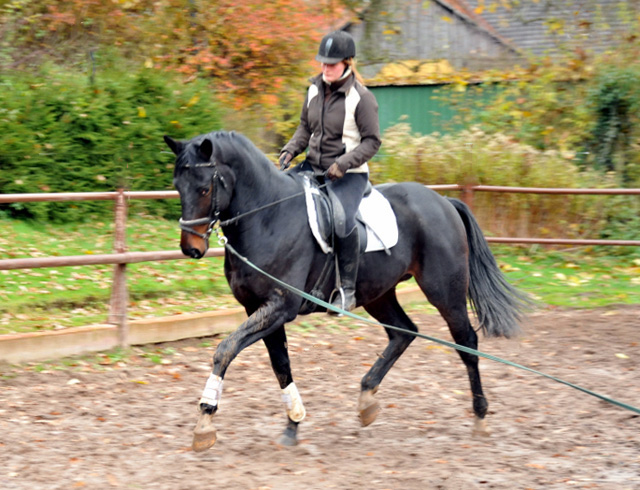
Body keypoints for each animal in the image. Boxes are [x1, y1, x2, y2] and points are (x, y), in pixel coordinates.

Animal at [165, 129, 528, 452]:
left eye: (203, 188)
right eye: (177, 186)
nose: (191, 248)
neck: (268, 217)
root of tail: (444, 201)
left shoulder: (281, 306)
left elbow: (225, 349)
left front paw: (204, 421)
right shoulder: (258, 308)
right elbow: (280, 365)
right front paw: (293, 423)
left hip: (444, 292)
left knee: (466, 343)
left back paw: (480, 417)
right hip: (379, 293)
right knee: (404, 332)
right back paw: (367, 399)